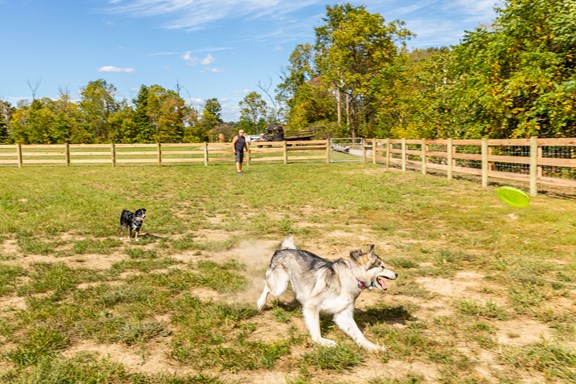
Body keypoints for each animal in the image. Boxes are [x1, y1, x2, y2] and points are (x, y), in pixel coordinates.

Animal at [258, 237, 398, 352]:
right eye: (382, 266)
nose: (397, 274)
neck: (351, 277)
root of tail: (282, 250)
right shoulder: (311, 307)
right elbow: (316, 332)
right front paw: (324, 342)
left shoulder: (343, 315)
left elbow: (359, 335)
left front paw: (374, 347)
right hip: (279, 287)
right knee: (266, 285)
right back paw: (260, 304)